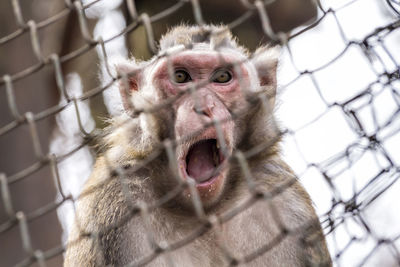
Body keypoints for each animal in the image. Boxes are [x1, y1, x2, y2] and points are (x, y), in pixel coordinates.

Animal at [63, 24, 332, 266]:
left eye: (222, 77)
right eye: (180, 77)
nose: (203, 106)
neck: (204, 212)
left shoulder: (285, 199)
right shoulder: (112, 203)